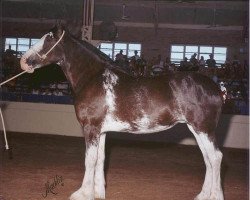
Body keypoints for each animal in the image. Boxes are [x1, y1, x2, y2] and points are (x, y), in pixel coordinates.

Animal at [21, 24, 225, 200]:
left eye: (48, 38)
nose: (24, 61)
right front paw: (98, 193)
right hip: (196, 129)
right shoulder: (101, 131)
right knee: (208, 159)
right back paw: (202, 195)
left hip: (203, 129)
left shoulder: (90, 128)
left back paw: (215, 196)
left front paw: (82, 194)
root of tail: (217, 88)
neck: (93, 78)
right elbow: (100, 159)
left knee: (215, 157)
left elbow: (89, 160)